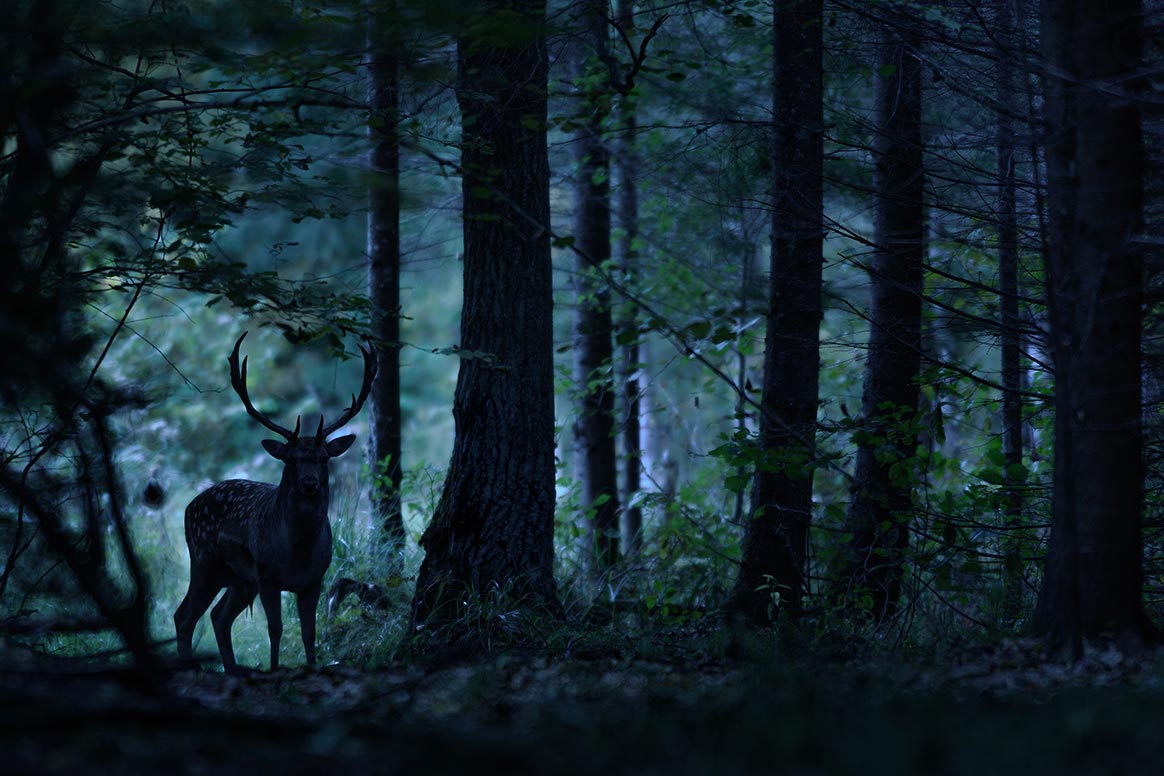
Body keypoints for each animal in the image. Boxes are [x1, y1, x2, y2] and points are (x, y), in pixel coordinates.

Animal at [174, 332, 374, 674]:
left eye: (323, 458)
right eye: (291, 459)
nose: (310, 483)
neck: (298, 553)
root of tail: (189, 507)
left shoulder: (314, 579)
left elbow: (309, 630)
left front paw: (312, 668)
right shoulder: (267, 576)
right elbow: (275, 629)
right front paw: (275, 669)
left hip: (239, 579)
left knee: (218, 616)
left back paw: (232, 670)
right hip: (203, 561)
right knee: (184, 616)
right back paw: (193, 669)